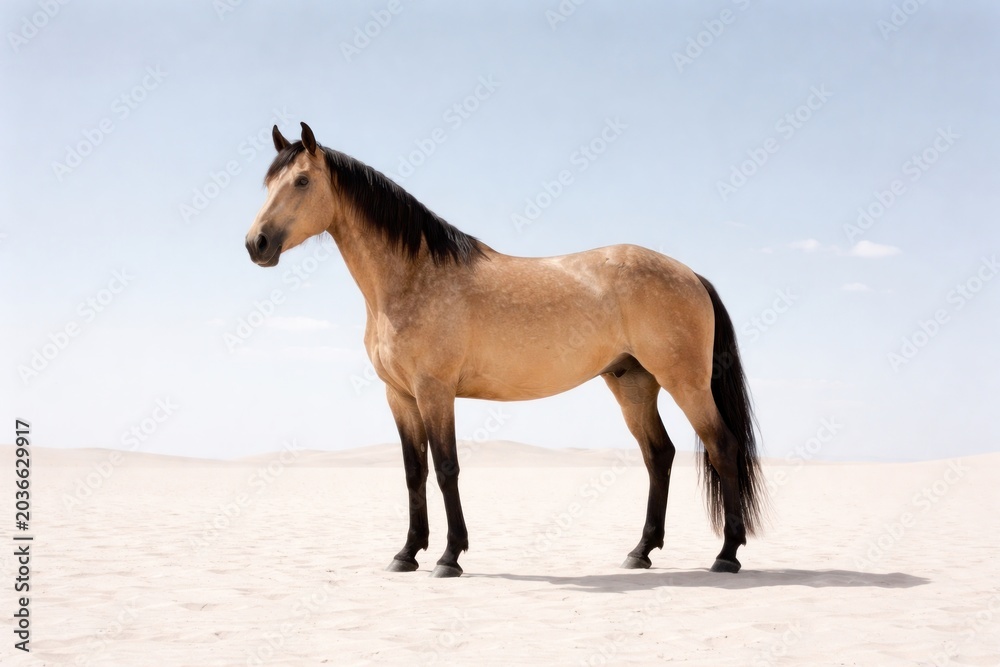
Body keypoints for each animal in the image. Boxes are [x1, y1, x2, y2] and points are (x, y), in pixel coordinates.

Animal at [245, 122, 766, 578]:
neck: (412, 278)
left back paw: (727, 555)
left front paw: (449, 557)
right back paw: (640, 552)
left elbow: (446, 468)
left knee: (722, 447)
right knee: (659, 455)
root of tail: (690, 274)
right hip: (633, 384)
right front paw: (406, 553)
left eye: (302, 181)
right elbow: (414, 472)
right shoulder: (400, 397)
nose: (257, 244)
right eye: (268, 182)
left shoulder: (435, 391)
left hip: (685, 382)